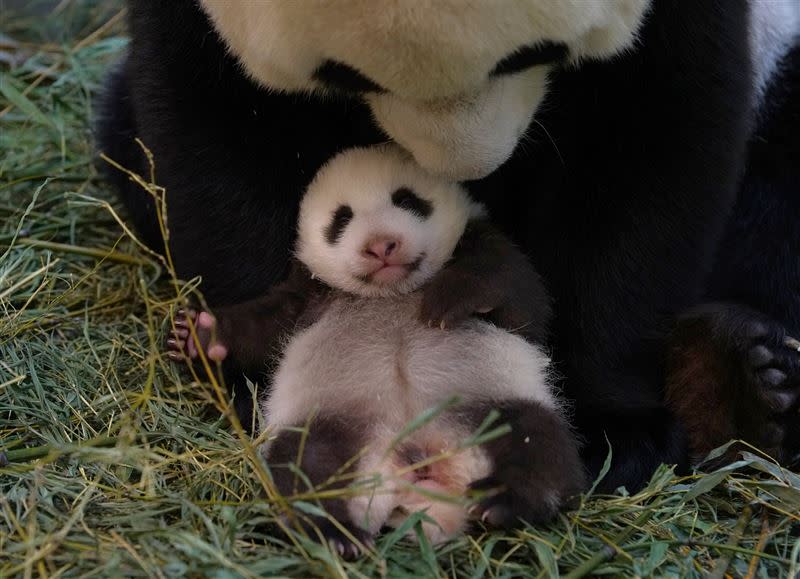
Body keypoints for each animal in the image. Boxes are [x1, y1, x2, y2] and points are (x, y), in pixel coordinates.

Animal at [98, 2, 800, 494]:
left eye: (531, 54)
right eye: (341, 74)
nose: (468, 167)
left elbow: (652, 139)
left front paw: (614, 428)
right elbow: (214, 122)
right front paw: (254, 376)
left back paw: (735, 381)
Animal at [169, 145, 584, 556]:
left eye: (407, 199)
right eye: (341, 219)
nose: (381, 246)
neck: (392, 292)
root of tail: (417, 461)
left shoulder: (488, 247)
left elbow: (519, 296)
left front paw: (446, 300)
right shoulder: (308, 297)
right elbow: (264, 330)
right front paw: (198, 336)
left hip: (488, 405)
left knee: (536, 441)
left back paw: (503, 500)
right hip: (334, 423)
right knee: (306, 467)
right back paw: (335, 533)